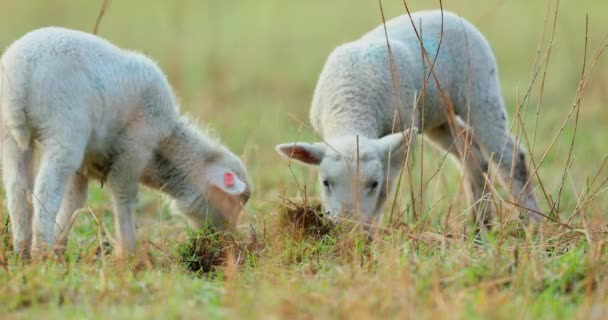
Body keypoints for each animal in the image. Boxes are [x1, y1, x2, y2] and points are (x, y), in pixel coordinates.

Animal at [0, 26, 252, 258]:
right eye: (237, 201)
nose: (224, 241)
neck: (165, 146)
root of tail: (20, 76)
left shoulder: (85, 165)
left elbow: (75, 200)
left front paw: (61, 244)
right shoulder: (134, 147)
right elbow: (123, 194)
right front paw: (128, 251)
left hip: (9, 136)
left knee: (17, 188)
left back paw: (22, 250)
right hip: (64, 130)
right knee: (45, 190)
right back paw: (42, 250)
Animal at [276, 10, 540, 228]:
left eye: (373, 183)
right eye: (325, 182)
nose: (347, 225)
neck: (353, 108)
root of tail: (450, 14)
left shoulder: (400, 140)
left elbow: (386, 189)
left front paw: (369, 236)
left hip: (480, 90)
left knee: (510, 156)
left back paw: (532, 223)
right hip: (437, 117)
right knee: (473, 156)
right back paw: (481, 224)